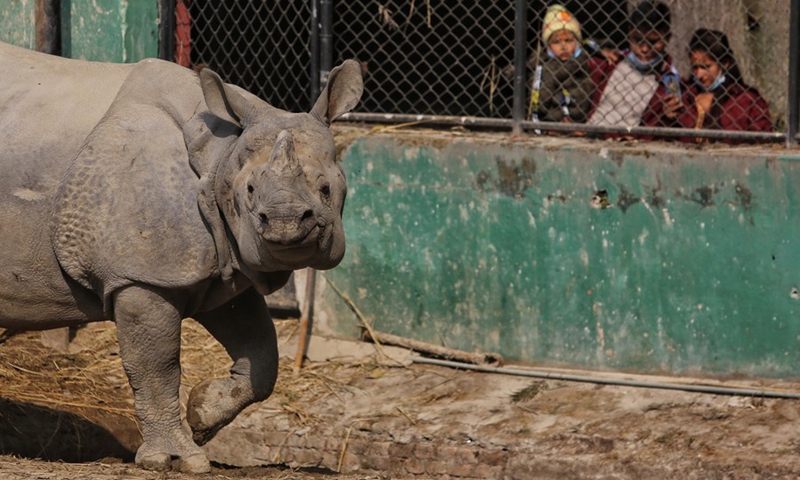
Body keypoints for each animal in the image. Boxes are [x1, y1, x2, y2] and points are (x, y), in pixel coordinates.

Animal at [0, 41, 362, 473]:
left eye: (326, 189)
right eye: (250, 190)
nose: (284, 222)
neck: (221, 156)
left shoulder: (223, 265)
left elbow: (262, 354)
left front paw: (203, 414)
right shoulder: (142, 274)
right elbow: (157, 366)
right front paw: (177, 459)